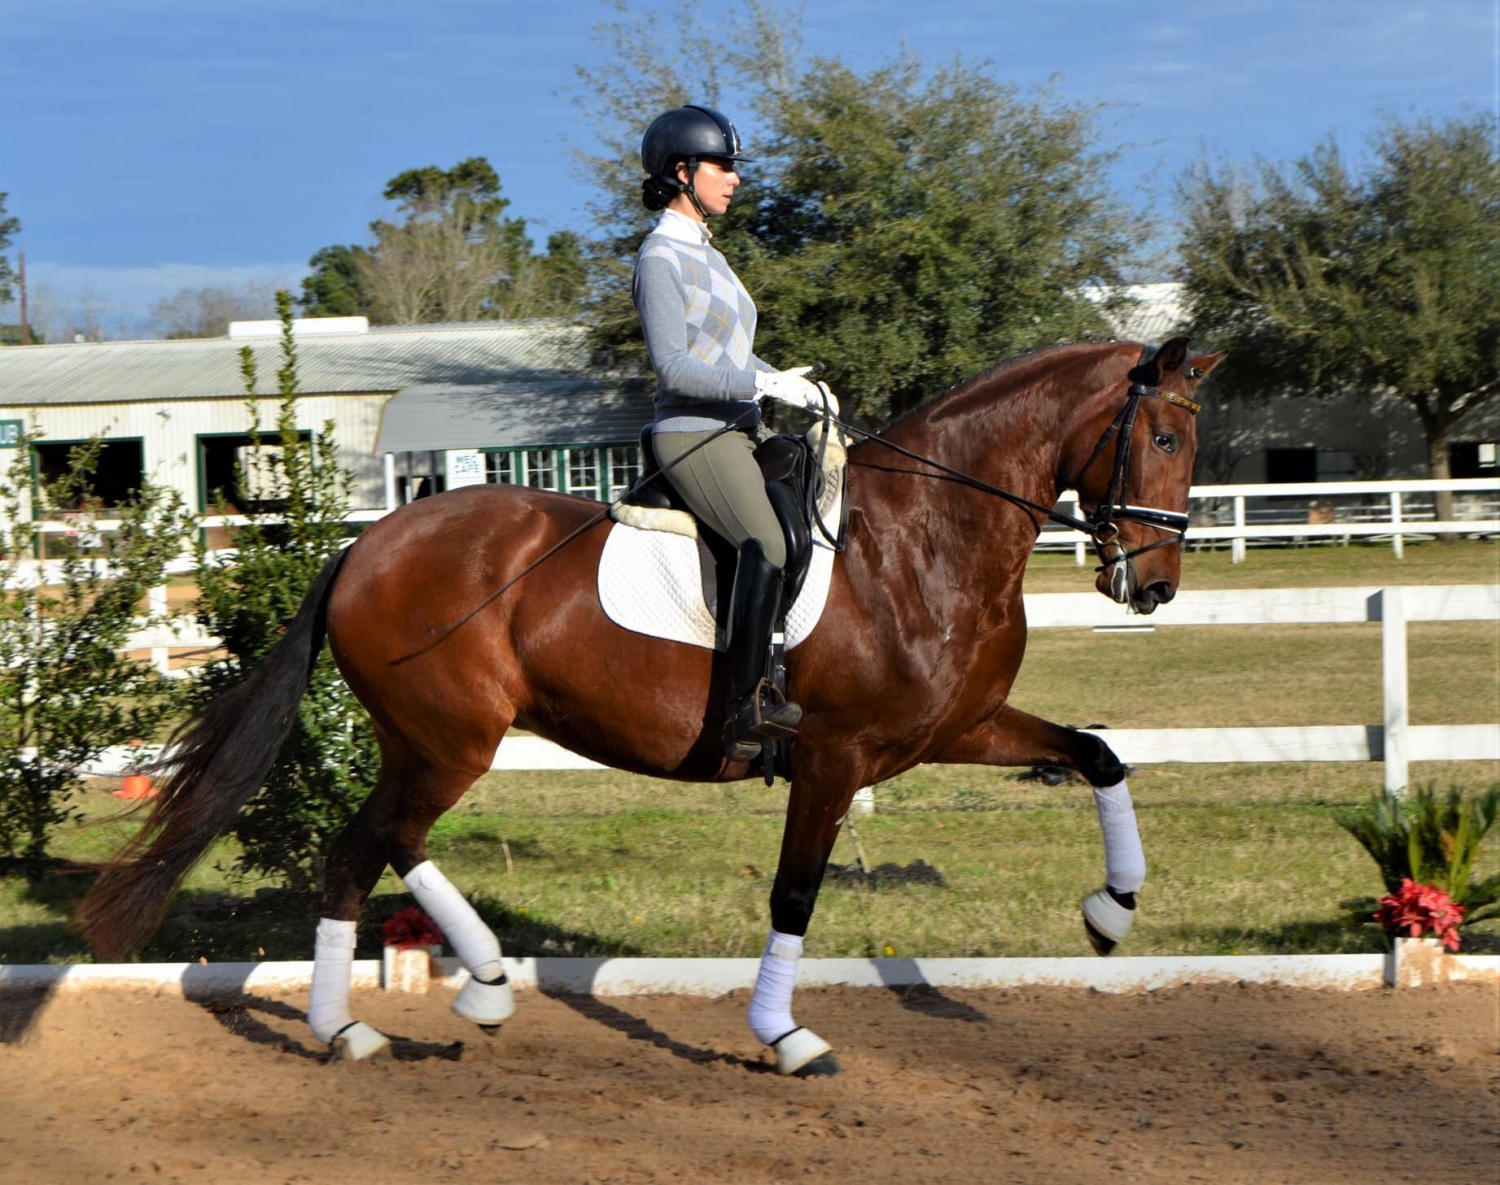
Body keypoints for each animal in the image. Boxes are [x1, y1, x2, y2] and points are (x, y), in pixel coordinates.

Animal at [78, 335, 1219, 1076]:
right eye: (1163, 440)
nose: (1156, 587)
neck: (921, 539)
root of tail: (367, 546)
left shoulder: (952, 729)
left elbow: (1099, 753)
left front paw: (1112, 911)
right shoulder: (834, 758)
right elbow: (795, 895)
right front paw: (786, 1037)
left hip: (422, 740)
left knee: (355, 851)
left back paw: (351, 1028)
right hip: (451, 739)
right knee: (391, 839)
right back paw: (478, 982)